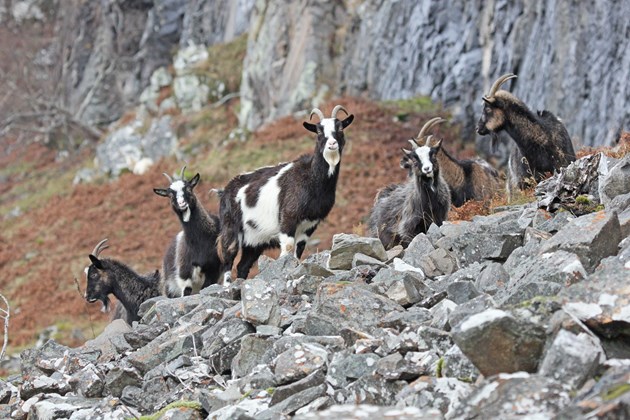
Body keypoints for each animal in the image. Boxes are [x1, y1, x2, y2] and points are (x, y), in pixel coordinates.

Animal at [154, 166, 226, 296]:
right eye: (170, 195)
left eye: (188, 188)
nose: (182, 203)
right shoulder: (184, 274)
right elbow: (186, 290)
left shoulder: (214, 270)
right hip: (169, 287)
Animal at [218, 105, 356, 280]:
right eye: (318, 131)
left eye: (340, 128)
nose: (332, 144)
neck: (311, 179)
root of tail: (225, 191)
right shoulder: (288, 218)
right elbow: (288, 249)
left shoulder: (310, 224)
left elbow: (298, 251)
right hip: (231, 230)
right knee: (227, 261)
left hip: (255, 239)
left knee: (242, 266)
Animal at [370, 118, 454, 249]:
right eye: (415, 159)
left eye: (433, 155)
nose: (427, 169)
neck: (430, 201)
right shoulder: (408, 228)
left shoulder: (440, 218)